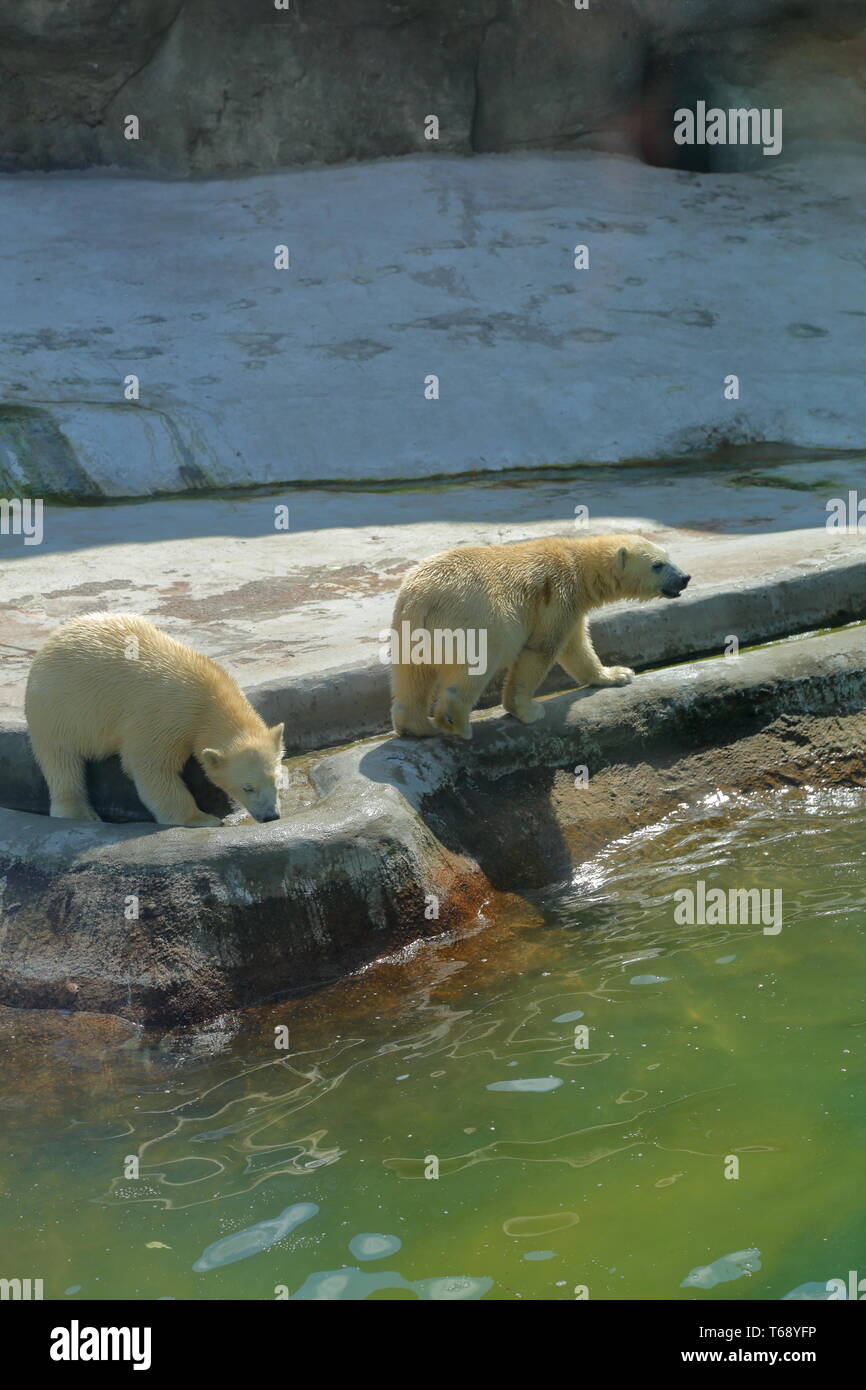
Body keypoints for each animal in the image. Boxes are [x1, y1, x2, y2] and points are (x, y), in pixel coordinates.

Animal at [25, 611, 284, 822]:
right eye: (247, 787)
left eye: (277, 779)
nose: (271, 816)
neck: (208, 694)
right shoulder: (165, 715)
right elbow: (149, 766)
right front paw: (200, 819)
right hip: (59, 708)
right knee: (61, 759)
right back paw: (79, 812)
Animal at [391, 536, 692, 745]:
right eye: (657, 565)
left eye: (669, 556)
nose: (685, 577)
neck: (577, 561)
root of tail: (423, 598)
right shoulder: (557, 595)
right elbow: (542, 649)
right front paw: (527, 710)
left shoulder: (572, 606)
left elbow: (577, 647)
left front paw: (616, 674)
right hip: (475, 617)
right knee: (477, 662)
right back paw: (456, 722)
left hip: (408, 627)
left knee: (412, 674)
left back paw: (416, 726)